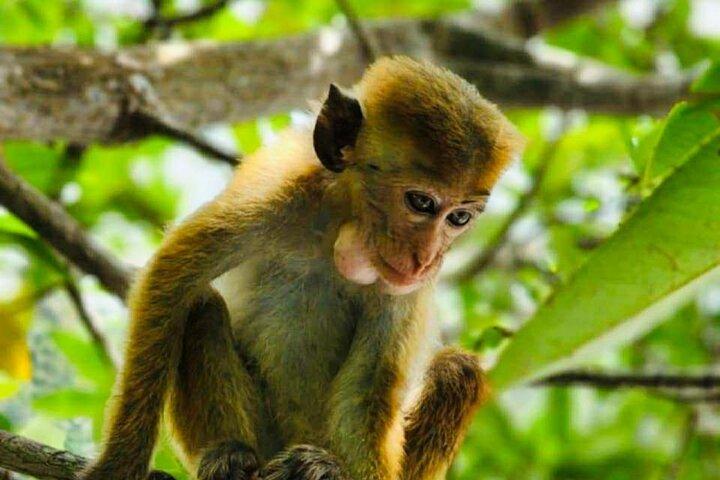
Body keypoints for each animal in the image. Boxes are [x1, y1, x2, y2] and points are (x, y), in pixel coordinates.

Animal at [80, 56, 522, 480]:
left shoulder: (401, 291)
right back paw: (229, 457)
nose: (426, 259)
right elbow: (172, 279)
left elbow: (367, 388)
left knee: (456, 370)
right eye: (421, 203)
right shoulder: (276, 195)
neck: (336, 230)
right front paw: (119, 465)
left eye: (459, 218)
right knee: (202, 306)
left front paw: (336, 470)